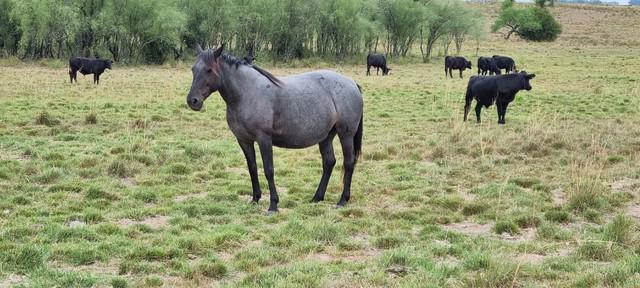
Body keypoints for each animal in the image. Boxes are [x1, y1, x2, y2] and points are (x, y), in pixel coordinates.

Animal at [188, 44, 362, 212]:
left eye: (209, 70)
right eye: (193, 69)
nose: (192, 101)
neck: (246, 94)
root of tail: (352, 83)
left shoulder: (264, 139)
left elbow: (268, 170)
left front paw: (273, 205)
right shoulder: (244, 140)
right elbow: (252, 168)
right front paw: (255, 199)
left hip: (345, 135)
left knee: (348, 163)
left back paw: (342, 200)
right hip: (326, 136)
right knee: (329, 162)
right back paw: (316, 198)